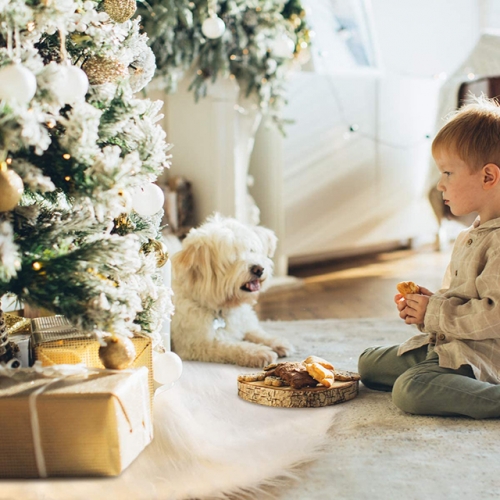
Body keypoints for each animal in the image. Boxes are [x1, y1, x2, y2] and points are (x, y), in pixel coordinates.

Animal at [172, 215, 294, 368]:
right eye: (233, 257)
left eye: (251, 250)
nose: (258, 269)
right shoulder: (196, 345)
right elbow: (232, 346)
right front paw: (258, 352)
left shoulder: (244, 323)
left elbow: (255, 331)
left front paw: (276, 341)